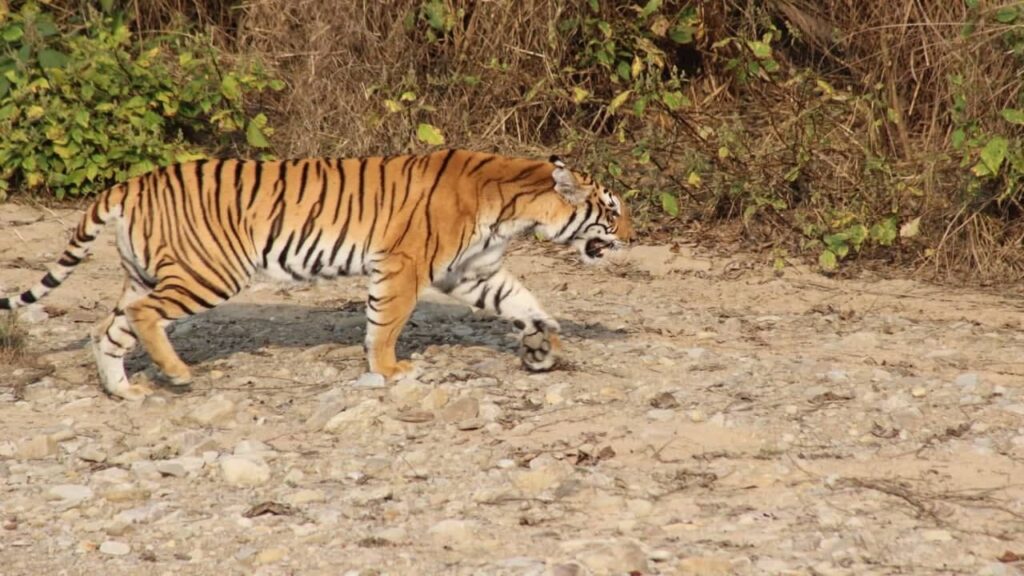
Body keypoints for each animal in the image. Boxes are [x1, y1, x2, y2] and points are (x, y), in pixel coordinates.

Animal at [0, 149, 633, 400]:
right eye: (613, 209)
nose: (631, 236)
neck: (516, 205)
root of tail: (130, 183)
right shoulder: (404, 265)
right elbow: (385, 324)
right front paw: (391, 370)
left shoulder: (472, 271)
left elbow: (524, 300)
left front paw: (543, 346)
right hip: (210, 272)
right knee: (141, 316)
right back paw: (178, 374)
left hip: (147, 271)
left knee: (107, 329)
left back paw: (124, 390)